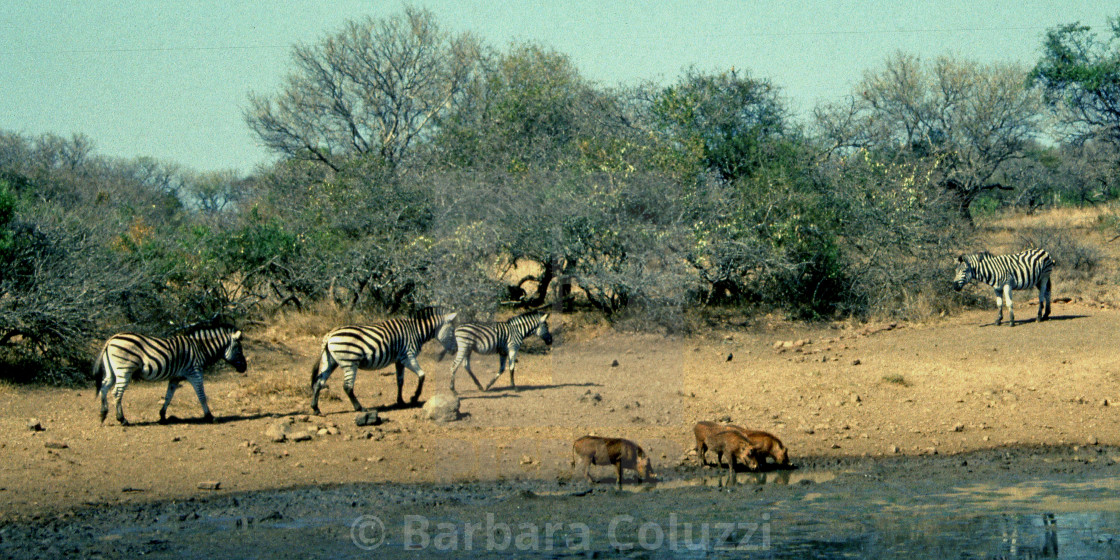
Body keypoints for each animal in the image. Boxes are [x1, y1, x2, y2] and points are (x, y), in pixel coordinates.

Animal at [94, 324, 247, 423]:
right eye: (239, 349)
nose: (245, 368)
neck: (200, 349)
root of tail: (111, 339)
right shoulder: (195, 372)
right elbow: (202, 396)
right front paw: (210, 416)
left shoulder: (175, 378)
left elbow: (168, 396)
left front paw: (162, 416)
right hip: (124, 370)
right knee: (116, 393)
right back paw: (122, 419)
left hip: (112, 371)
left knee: (104, 388)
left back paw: (103, 414)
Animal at [309, 309, 456, 414]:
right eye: (452, 332)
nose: (455, 350)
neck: (416, 331)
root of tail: (329, 335)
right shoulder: (408, 356)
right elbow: (422, 375)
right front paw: (414, 398)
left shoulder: (399, 360)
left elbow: (400, 381)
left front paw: (401, 402)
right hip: (350, 362)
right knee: (347, 386)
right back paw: (360, 408)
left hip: (330, 361)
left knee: (319, 382)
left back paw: (316, 408)